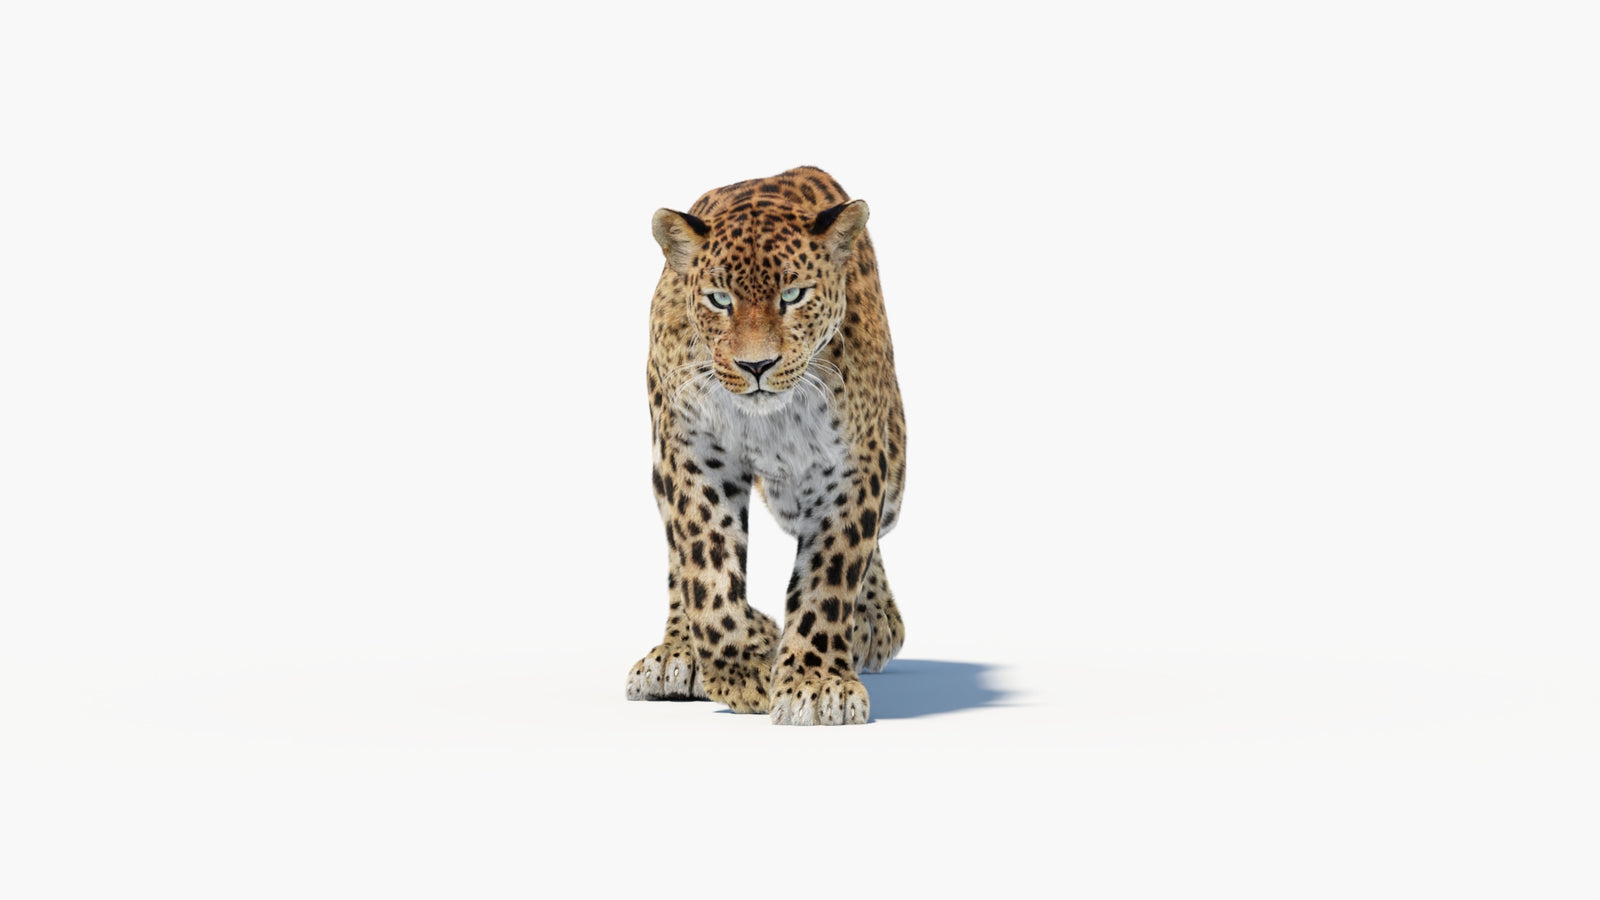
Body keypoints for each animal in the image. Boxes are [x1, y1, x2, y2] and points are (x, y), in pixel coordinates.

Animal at [625, 167, 908, 725]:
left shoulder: (851, 466)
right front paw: (742, 668)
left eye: (793, 295)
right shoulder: (690, 452)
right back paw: (677, 653)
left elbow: (831, 574)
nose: (756, 365)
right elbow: (705, 566)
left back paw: (874, 622)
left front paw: (816, 685)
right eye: (719, 300)